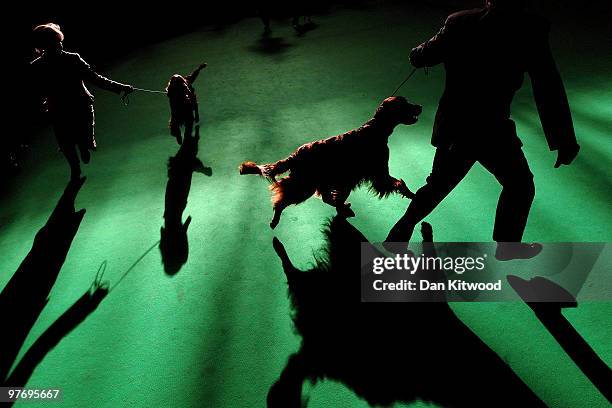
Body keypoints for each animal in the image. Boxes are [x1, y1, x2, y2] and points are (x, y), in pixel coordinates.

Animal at [238, 96, 420, 230]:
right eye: (404, 104)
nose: (420, 106)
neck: (376, 130)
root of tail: (295, 154)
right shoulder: (379, 173)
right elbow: (399, 183)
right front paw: (412, 194)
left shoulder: (352, 178)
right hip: (306, 184)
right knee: (283, 199)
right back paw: (275, 218)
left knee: (326, 198)